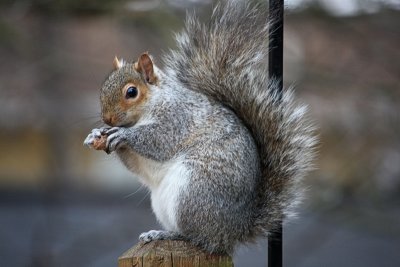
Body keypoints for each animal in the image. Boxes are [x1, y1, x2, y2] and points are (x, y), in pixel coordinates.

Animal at [83, 0, 316, 255]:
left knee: (198, 237)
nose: (107, 119)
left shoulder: (177, 118)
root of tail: (234, 231)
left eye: (131, 92)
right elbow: (136, 164)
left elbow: (159, 141)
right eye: (104, 87)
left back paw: (168, 234)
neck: (153, 105)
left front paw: (123, 135)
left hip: (192, 193)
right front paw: (95, 135)